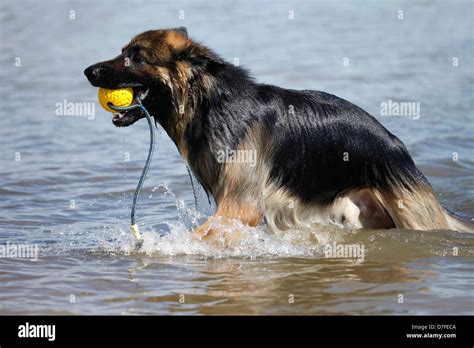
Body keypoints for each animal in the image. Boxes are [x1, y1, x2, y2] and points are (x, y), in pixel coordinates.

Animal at [85, 27, 474, 243]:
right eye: (123, 52)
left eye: (135, 57)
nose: (88, 70)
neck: (208, 104)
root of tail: (398, 148)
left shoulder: (240, 207)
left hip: (411, 216)